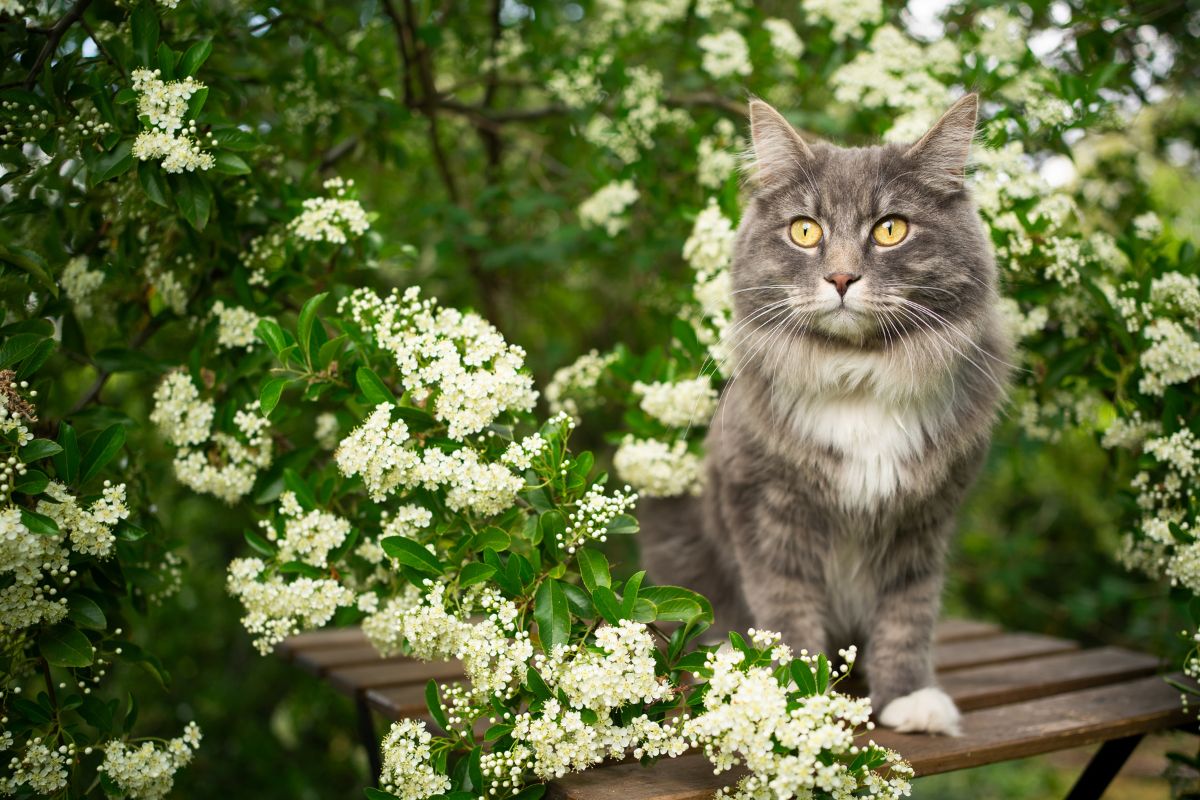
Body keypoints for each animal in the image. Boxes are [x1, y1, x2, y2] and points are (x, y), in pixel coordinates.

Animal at [643, 95, 1008, 738]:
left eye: (890, 229)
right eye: (805, 231)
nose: (840, 278)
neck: (856, 378)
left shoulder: (923, 520)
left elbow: (906, 617)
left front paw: (907, 699)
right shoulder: (766, 510)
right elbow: (785, 617)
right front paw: (793, 699)